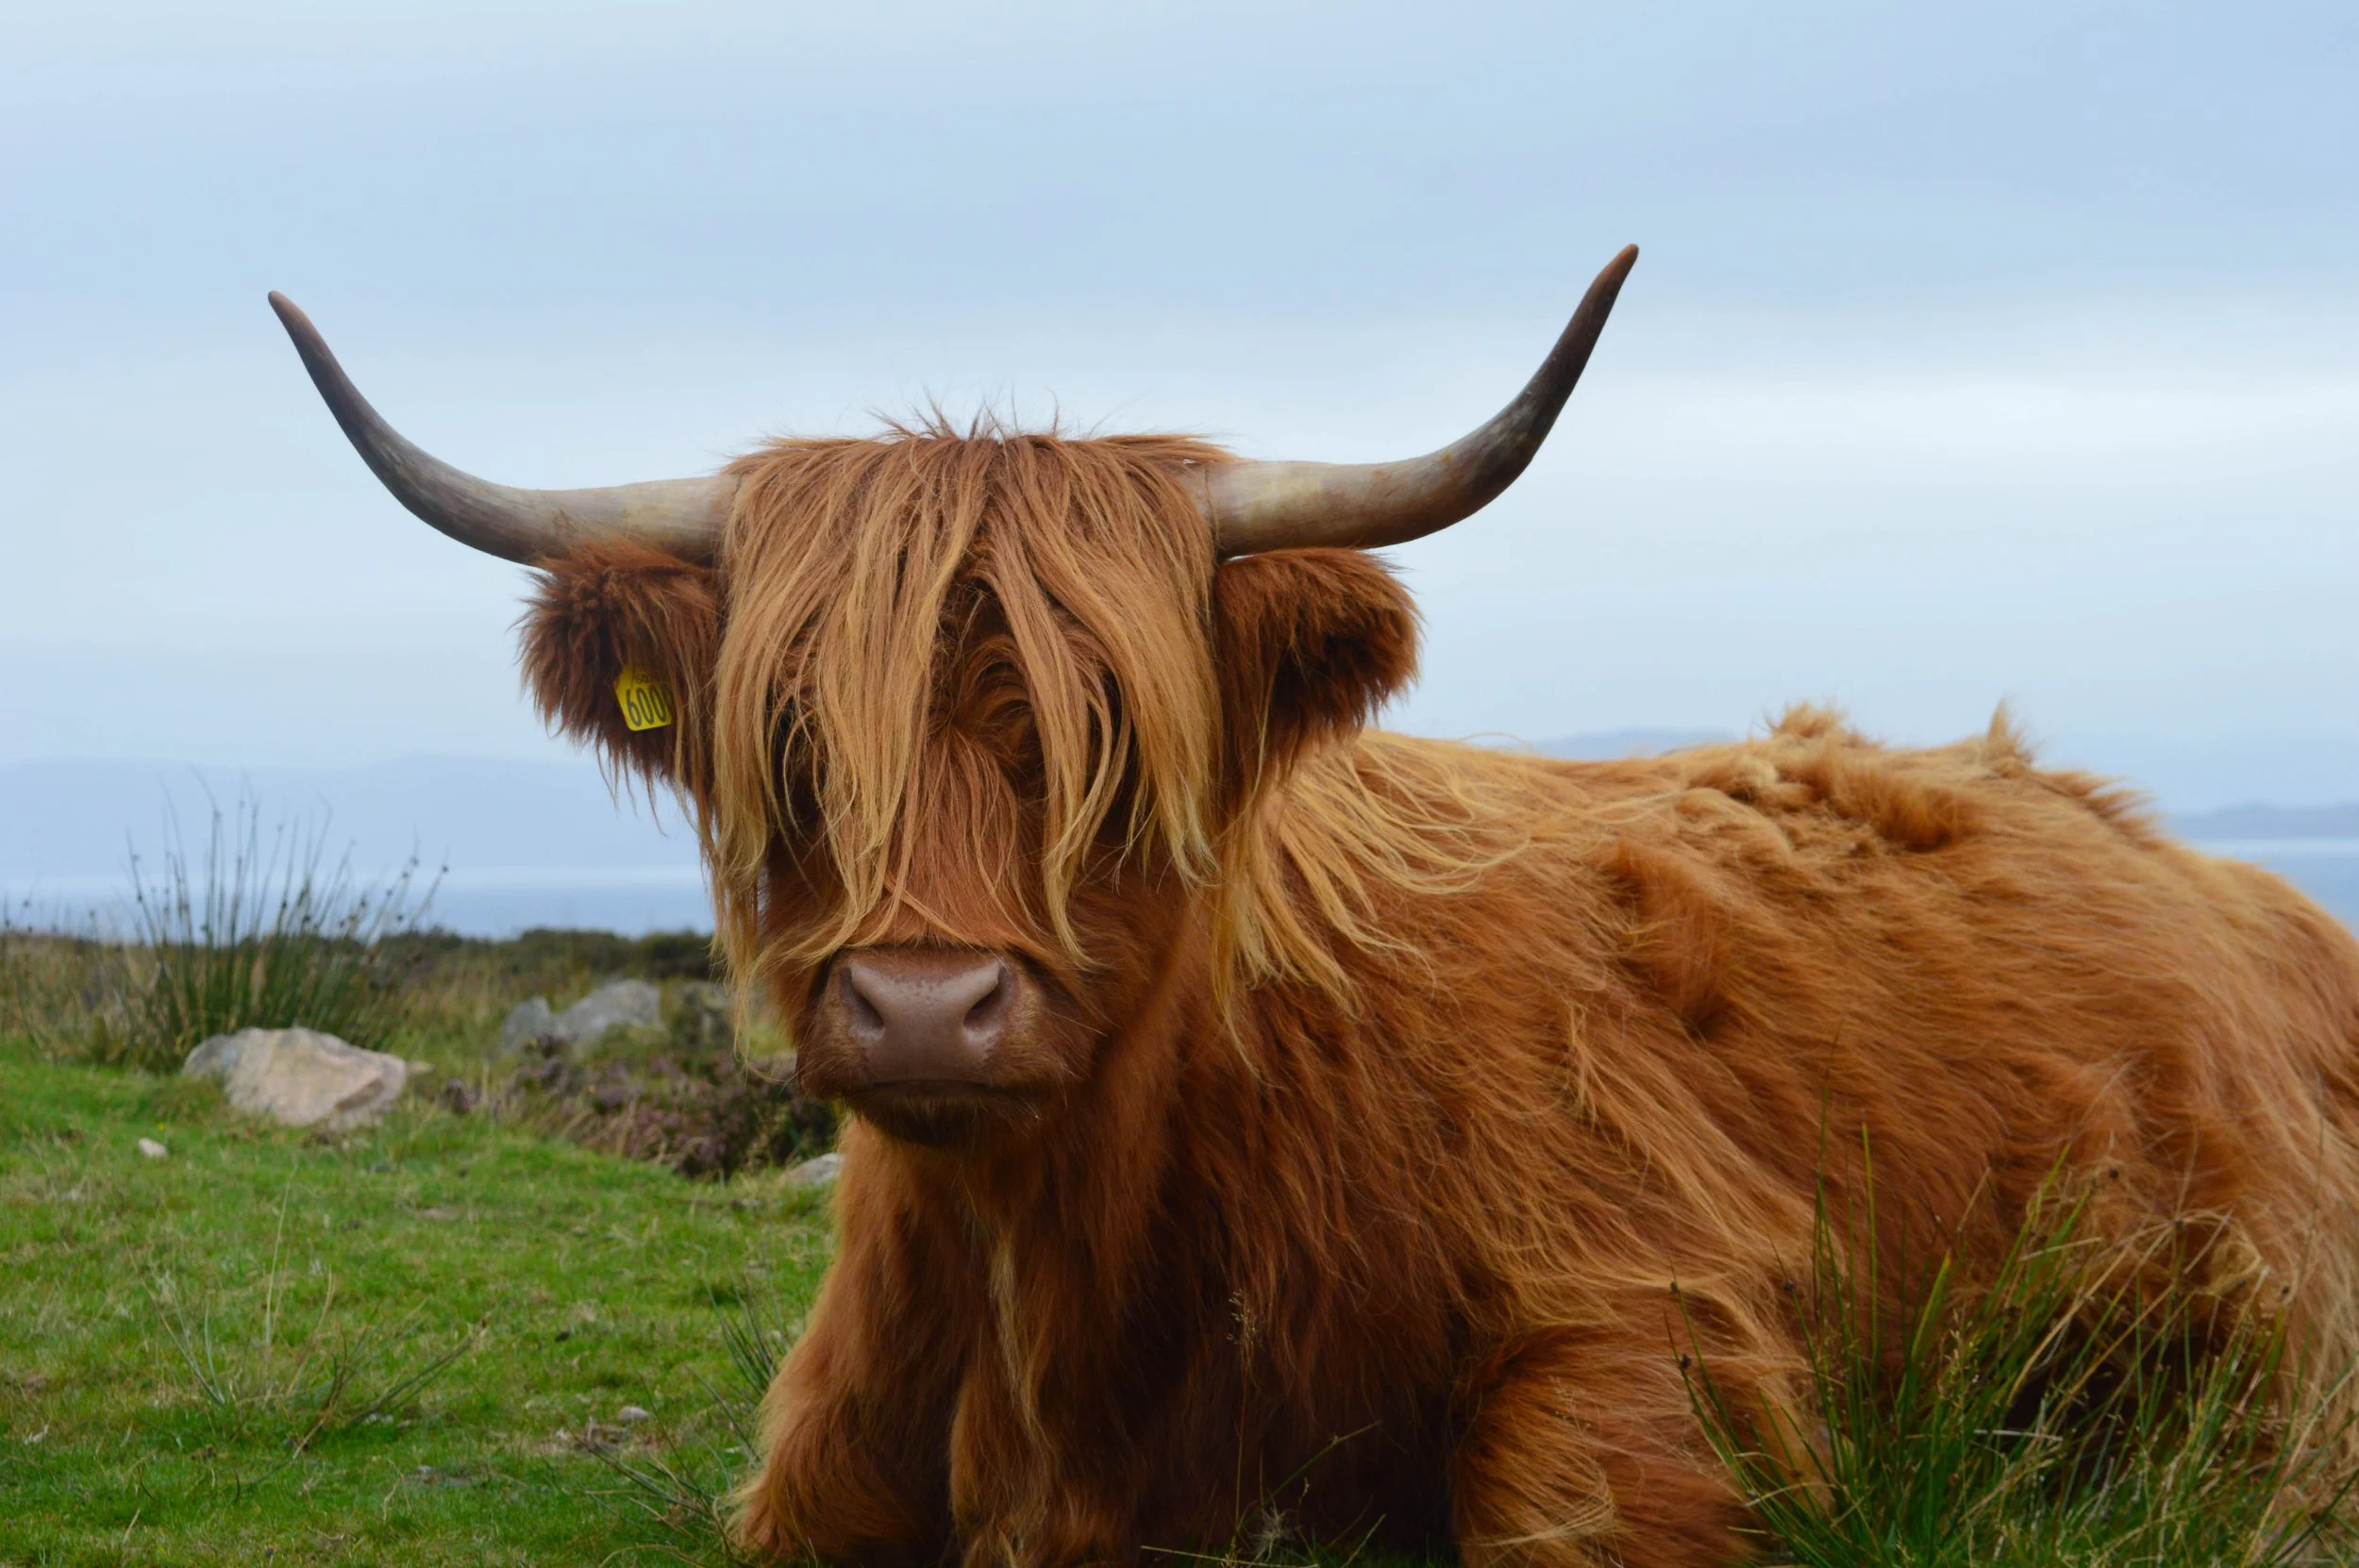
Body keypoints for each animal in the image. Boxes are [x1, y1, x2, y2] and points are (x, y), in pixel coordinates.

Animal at [270, 247, 2359, 1567]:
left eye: (1113, 739)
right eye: (788, 737)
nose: (927, 1006)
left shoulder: (1650, 1308)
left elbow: (1568, 1495)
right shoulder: (821, 1473)